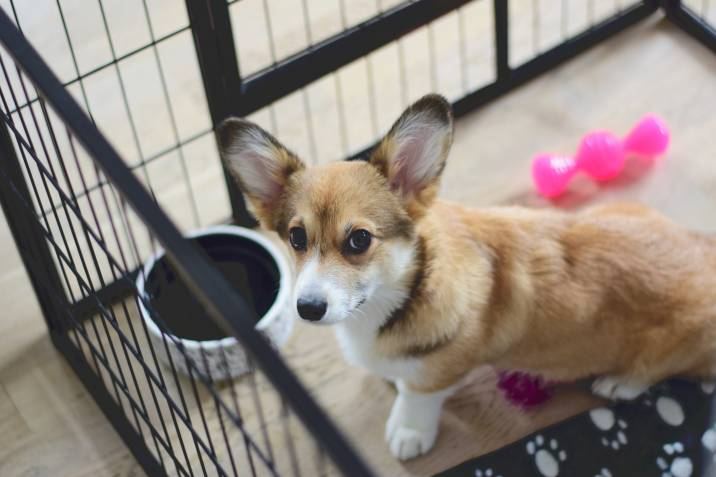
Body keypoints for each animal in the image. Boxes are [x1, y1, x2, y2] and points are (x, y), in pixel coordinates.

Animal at [217, 94, 716, 462]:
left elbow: (416, 396)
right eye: (296, 237)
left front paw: (408, 431)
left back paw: (618, 382)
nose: (307, 308)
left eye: (359, 240)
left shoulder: (440, 370)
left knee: (656, 370)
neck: (399, 293)